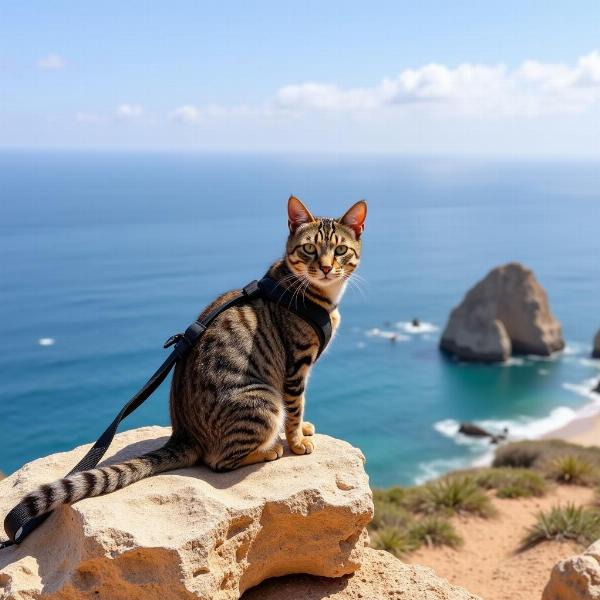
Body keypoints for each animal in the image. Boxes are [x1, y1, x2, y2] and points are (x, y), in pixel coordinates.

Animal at [11, 196, 366, 520]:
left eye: (340, 251)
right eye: (309, 249)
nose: (325, 267)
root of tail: (183, 433)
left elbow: (299, 408)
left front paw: (303, 429)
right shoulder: (295, 365)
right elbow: (295, 406)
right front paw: (296, 440)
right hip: (262, 399)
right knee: (219, 461)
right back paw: (269, 450)